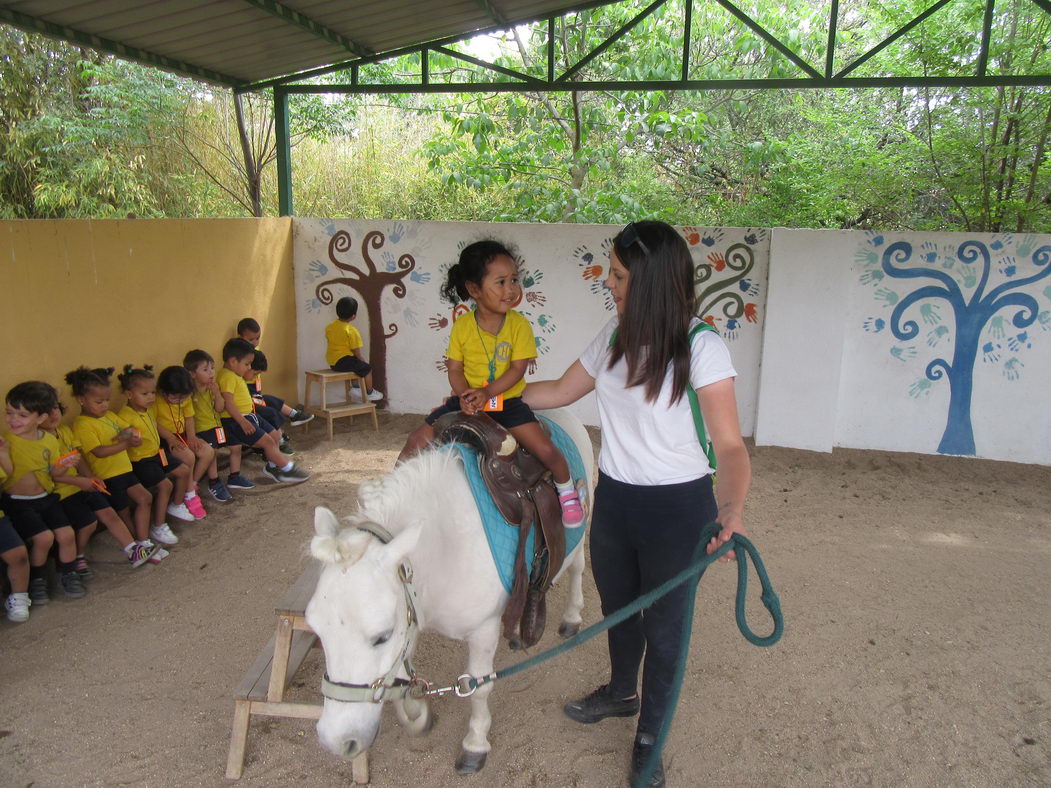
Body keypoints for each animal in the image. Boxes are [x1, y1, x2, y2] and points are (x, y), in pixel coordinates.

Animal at [306, 409, 596, 773]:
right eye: (317, 632)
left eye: (380, 637)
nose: (337, 741)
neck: (446, 541)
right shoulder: (410, 611)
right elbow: (401, 675)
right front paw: (417, 715)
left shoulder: (483, 629)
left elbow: (478, 687)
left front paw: (475, 743)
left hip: (581, 530)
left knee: (576, 569)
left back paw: (572, 617)